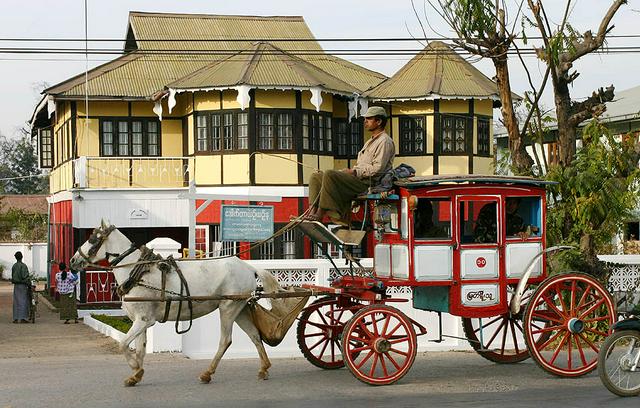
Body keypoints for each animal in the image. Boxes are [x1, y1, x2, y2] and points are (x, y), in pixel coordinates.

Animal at [69, 222, 280, 388]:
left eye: (92, 239)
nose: (73, 260)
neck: (136, 273)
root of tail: (249, 267)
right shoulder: (140, 320)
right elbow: (139, 348)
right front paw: (136, 375)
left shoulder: (144, 320)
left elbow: (123, 345)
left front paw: (135, 368)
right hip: (240, 307)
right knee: (254, 335)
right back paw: (264, 368)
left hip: (228, 307)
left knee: (225, 340)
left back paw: (207, 373)